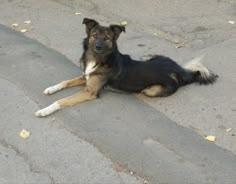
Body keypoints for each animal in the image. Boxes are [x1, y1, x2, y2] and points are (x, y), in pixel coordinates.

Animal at [35, 18, 218, 117]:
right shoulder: (86, 77)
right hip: (153, 56)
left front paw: (45, 110)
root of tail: (179, 71)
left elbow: (61, 101)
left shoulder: (90, 92)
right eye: (94, 35)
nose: (98, 47)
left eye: (107, 38)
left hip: (151, 90)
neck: (98, 59)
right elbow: (65, 82)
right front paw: (51, 89)